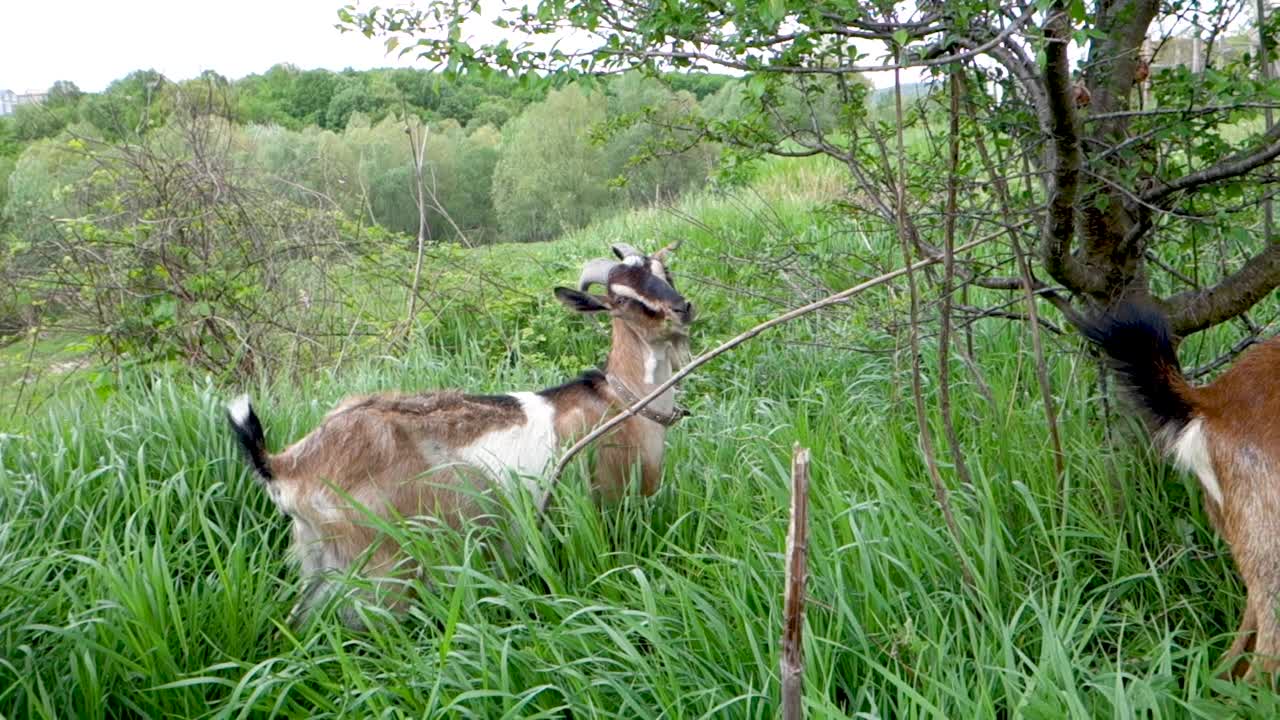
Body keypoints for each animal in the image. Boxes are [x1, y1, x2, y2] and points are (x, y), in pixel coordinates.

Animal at [225, 242, 696, 622]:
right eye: (622, 299)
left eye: (664, 272)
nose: (682, 309)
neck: (622, 405)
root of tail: (287, 464)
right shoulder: (607, 509)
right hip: (383, 569)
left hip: (321, 562)